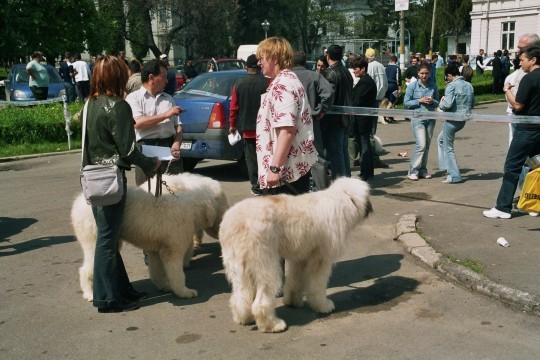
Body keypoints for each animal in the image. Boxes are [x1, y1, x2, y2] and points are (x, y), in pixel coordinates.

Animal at [70, 173, 227, 302]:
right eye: (223, 205)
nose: (224, 223)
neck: (192, 203)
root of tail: (77, 203)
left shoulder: (156, 249)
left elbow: (157, 270)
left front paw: (164, 286)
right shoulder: (173, 246)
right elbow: (177, 273)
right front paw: (185, 292)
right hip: (95, 239)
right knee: (86, 269)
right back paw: (90, 294)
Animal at [218, 177, 372, 332]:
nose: (370, 210)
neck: (341, 199)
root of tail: (237, 222)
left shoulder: (300, 258)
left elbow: (295, 280)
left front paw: (292, 301)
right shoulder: (321, 259)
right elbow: (317, 286)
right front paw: (322, 305)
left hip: (237, 266)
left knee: (241, 295)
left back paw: (244, 317)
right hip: (265, 265)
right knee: (260, 301)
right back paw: (273, 325)